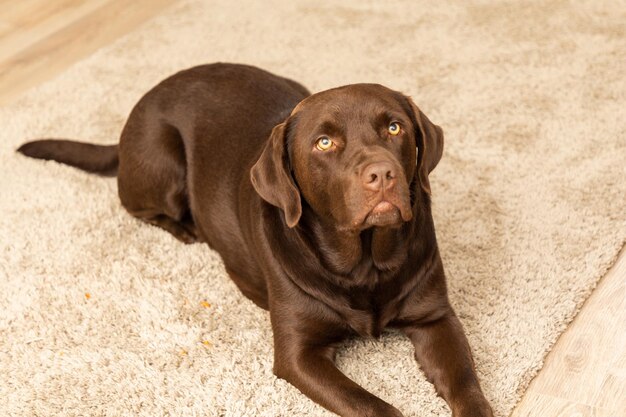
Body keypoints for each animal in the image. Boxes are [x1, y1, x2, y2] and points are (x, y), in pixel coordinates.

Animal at [18, 62, 492, 416]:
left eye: (394, 128)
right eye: (324, 143)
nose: (381, 174)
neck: (365, 265)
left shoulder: (434, 318)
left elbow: (465, 382)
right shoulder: (298, 355)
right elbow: (372, 406)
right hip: (163, 162)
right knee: (141, 208)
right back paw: (186, 229)